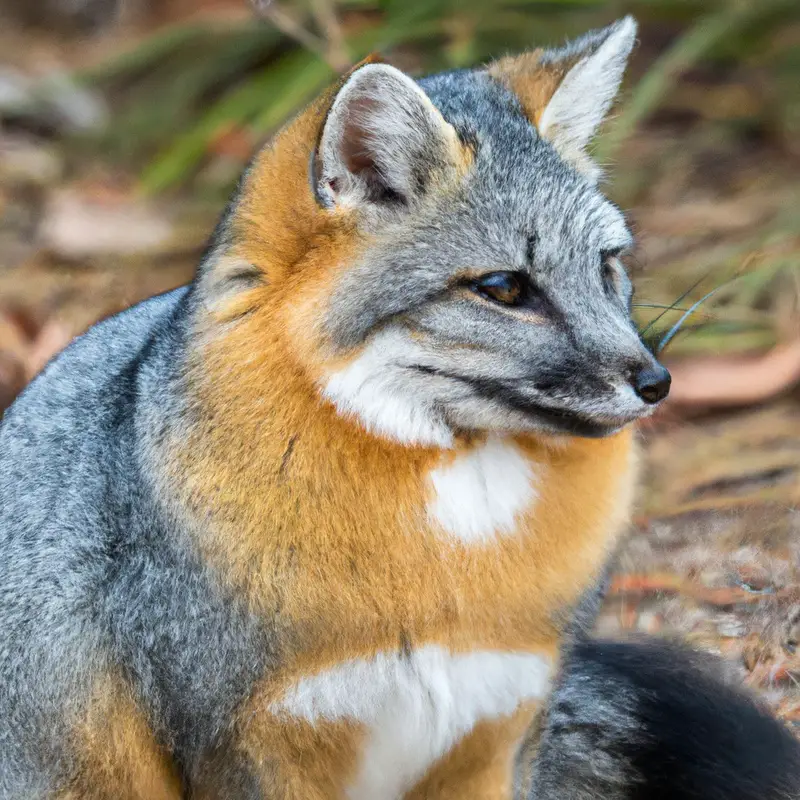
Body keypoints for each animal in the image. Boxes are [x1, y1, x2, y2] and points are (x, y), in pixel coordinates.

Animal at [1, 14, 800, 800]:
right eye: (504, 288)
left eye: (607, 266)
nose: (656, 381)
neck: (448, 564)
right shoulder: (247, 750)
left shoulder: (500, 733)